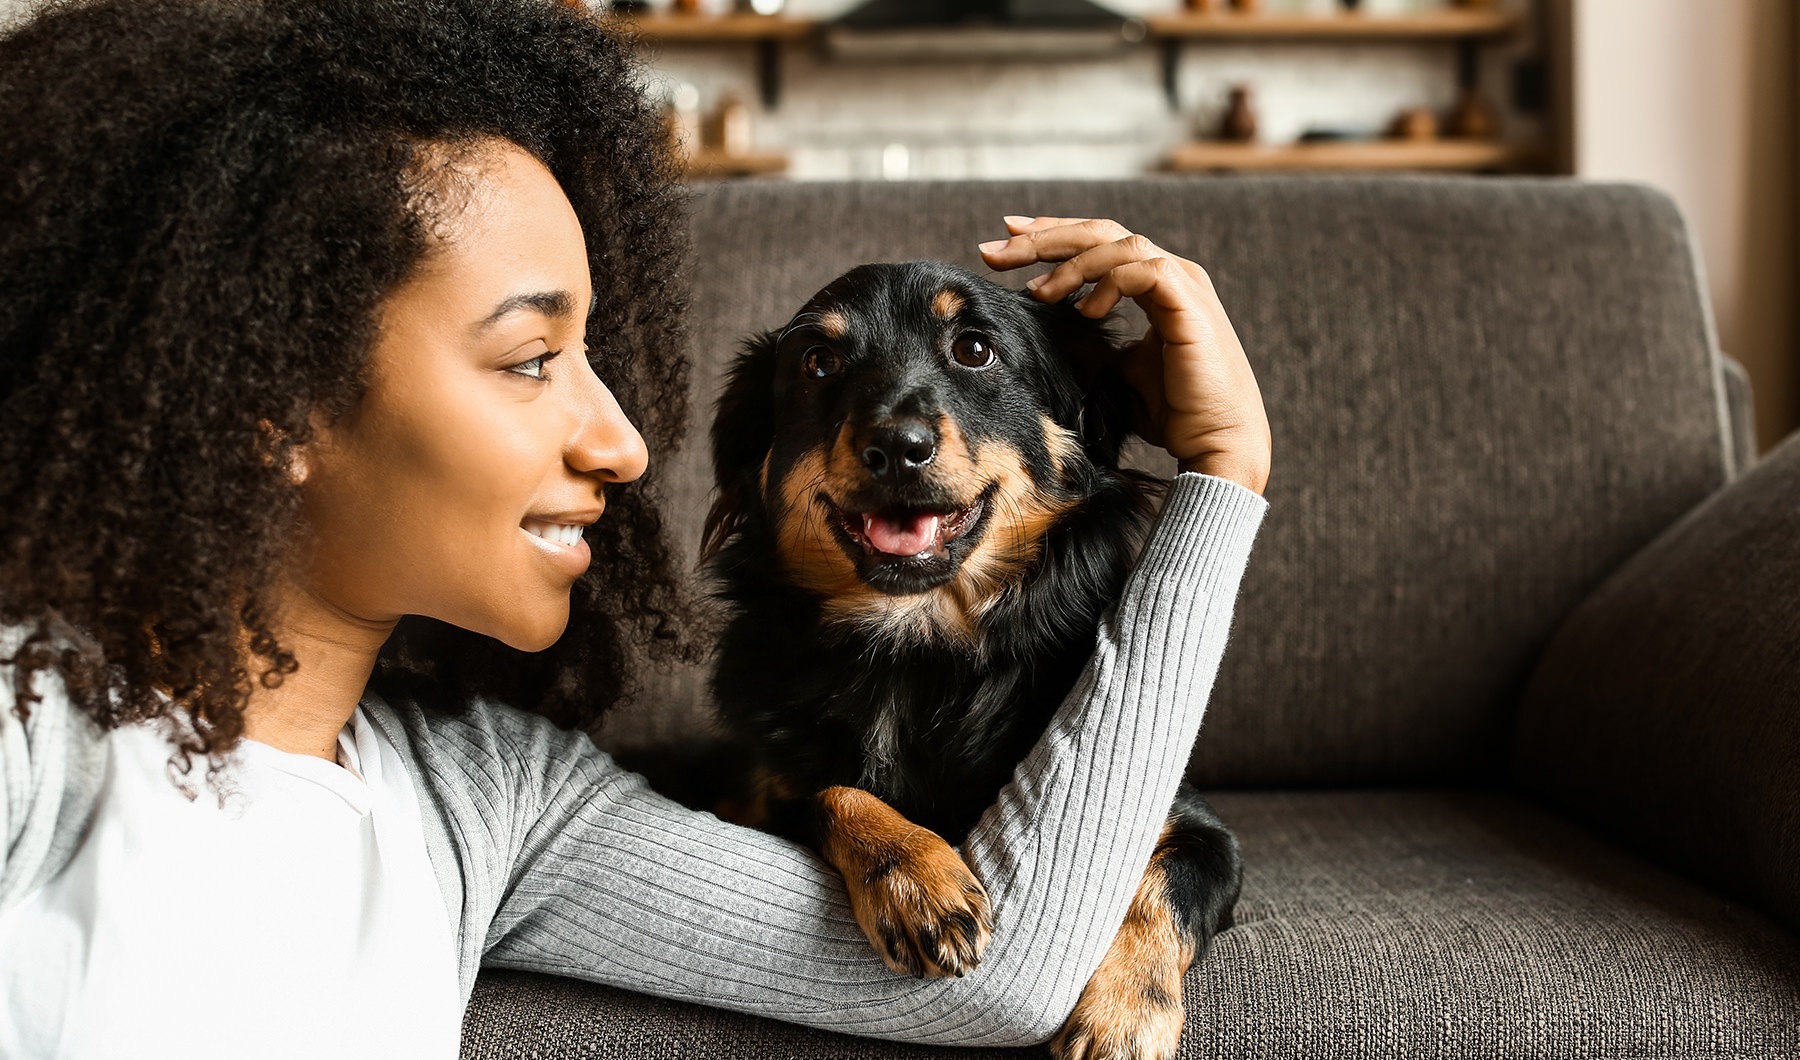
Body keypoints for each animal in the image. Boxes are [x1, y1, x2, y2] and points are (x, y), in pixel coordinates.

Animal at [694, 260, 1245, 1051]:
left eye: (975, 350)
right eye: (817, 363)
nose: (897, 447)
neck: (914, 647)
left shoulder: (1199, 830)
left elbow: (1158, 892)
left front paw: (1124, 1016)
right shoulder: (752, 795)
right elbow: (831, 790)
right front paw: (916, 879)